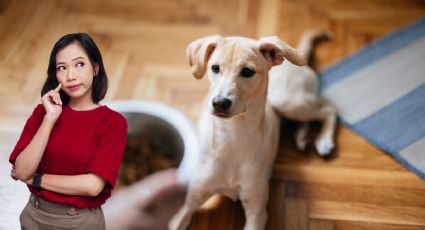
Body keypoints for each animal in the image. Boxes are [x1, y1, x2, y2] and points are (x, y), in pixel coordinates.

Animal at [171, 34, 306, 230]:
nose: (219, 103)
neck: (233, 136)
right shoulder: (189, 201)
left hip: (289, 103)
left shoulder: (256, 210)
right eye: (215, 68)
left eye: (248, 71)